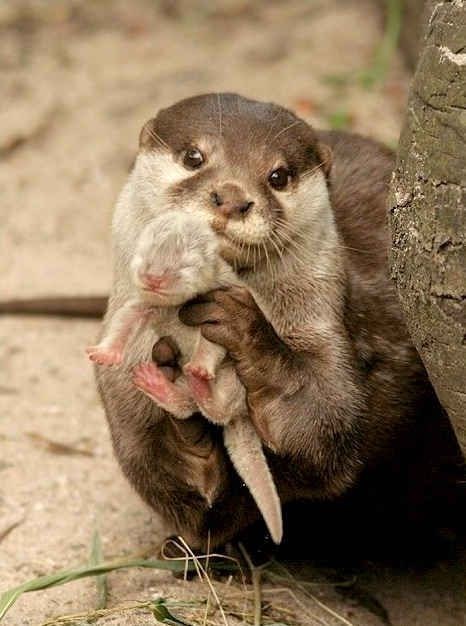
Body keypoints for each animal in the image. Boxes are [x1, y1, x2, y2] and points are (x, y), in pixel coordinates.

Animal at [95, 91, 462, 552]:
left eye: (278, 176)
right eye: (194, 156)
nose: (232, 197)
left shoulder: (331, 329)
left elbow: (327, 424)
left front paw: (243, 329)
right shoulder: (121, 392)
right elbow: (174, 489)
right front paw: (183, 421)